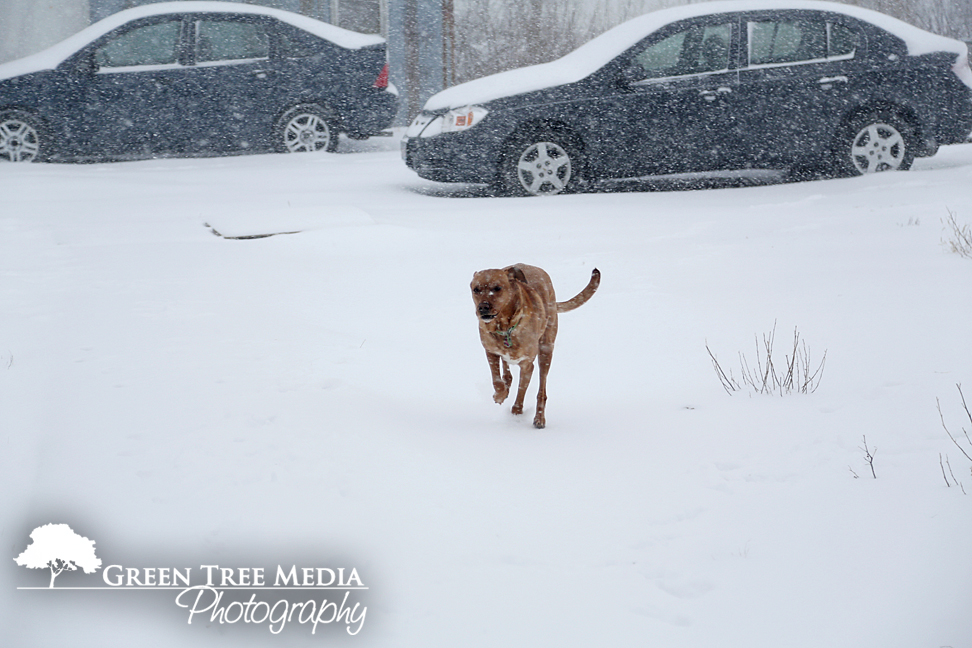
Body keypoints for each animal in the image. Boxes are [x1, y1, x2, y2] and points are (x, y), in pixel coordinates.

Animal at [472, 266, 600, 428]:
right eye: (476, 289)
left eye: (497, 288)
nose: (482, 307)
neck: (505, 328)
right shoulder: (490, 351)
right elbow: (496, 380)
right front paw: (500, 395)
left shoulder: (527, 364)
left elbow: (522, 389)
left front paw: (516, 411)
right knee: (507, 372)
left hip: (546, 349)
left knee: (542, 390)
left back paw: (539, 418)